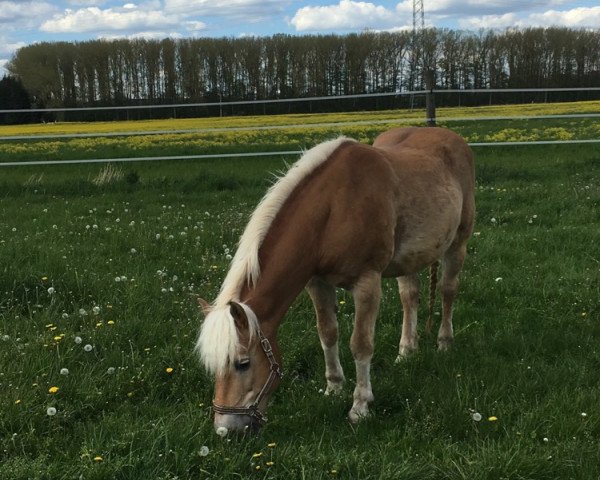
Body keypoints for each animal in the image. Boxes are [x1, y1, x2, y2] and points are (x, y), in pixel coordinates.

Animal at [196, 127, 474, 436]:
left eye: (243, 364)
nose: (225, 430)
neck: (332, 208)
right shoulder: (317, 283)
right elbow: (327, 333)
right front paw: (333, 388)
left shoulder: (367, 284)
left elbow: (361, 344)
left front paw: (360, 406)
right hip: (409, 259)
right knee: (409, 297)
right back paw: (406, 352)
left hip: (457, 245)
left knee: (448, 291)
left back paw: (444, 343)